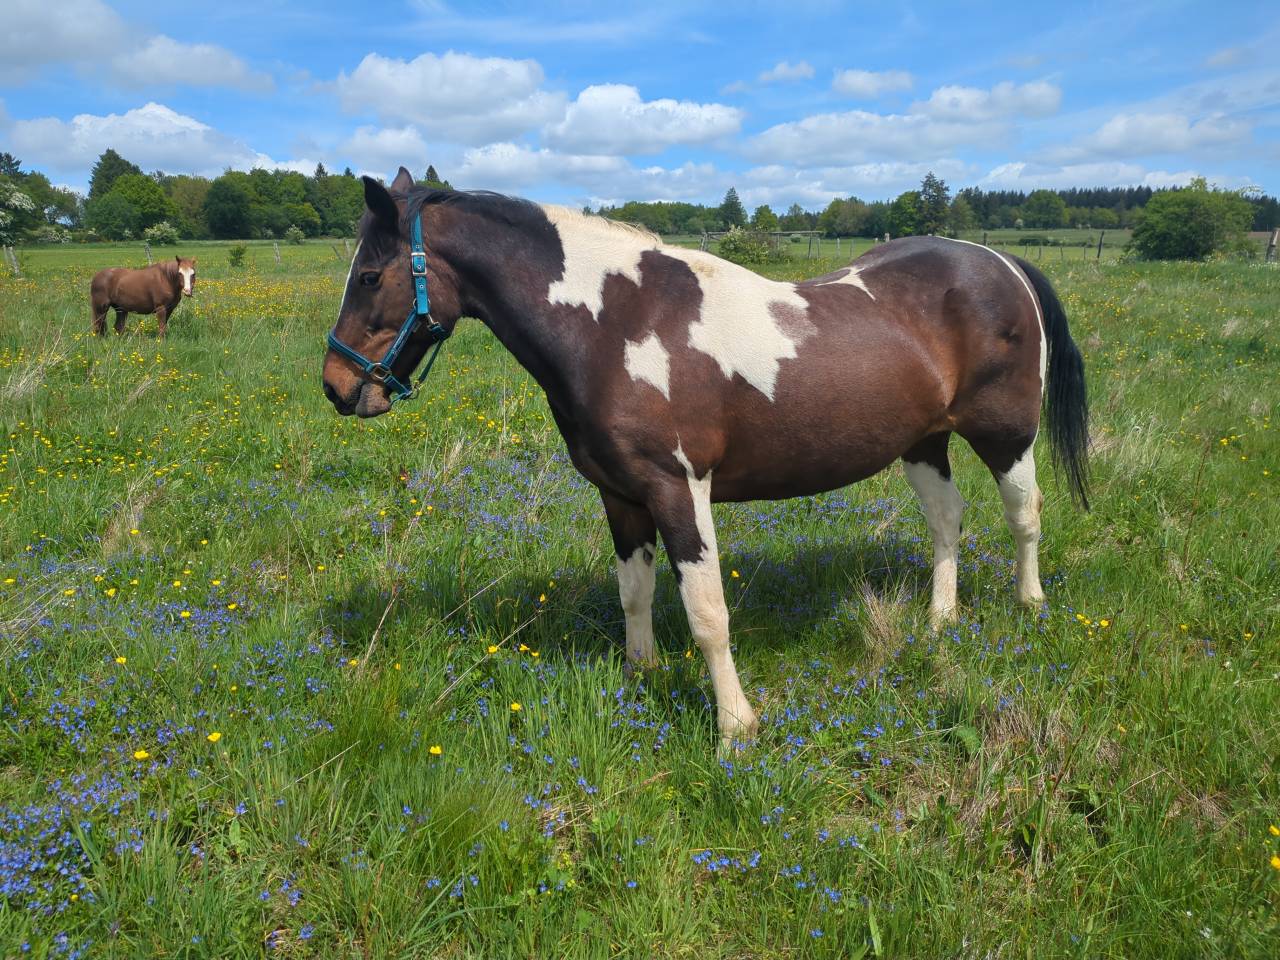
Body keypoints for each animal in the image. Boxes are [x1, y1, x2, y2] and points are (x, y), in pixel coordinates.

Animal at [322, 168, 1089, 749]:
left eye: (370, 276)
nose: (335, 386)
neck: (616, 325)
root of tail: (1001, 263)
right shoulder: (621, 495)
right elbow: (635, 592)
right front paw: (641, 680)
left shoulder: (678, 490)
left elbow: (707, 611)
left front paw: (734, 728)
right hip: (924, 442)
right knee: (947, 521)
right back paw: (940, 620)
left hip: (1006, 435)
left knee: (1024, 515)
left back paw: (1030, 605)